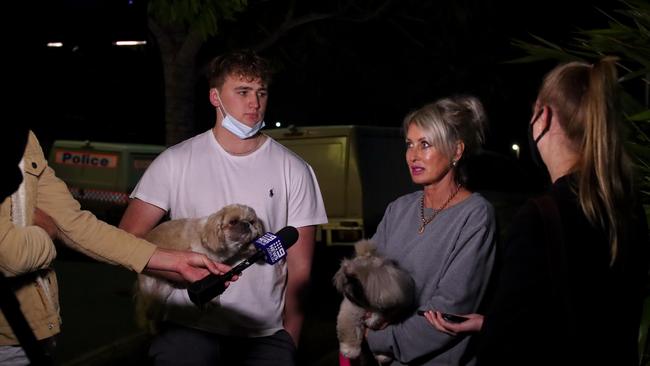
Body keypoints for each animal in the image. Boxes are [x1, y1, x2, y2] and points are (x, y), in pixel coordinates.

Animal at [133, 204, 264, 334]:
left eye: (252, 221)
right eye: (233, 221)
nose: (247, 224)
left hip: (164, 291)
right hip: (149, 288)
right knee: (148, 311)